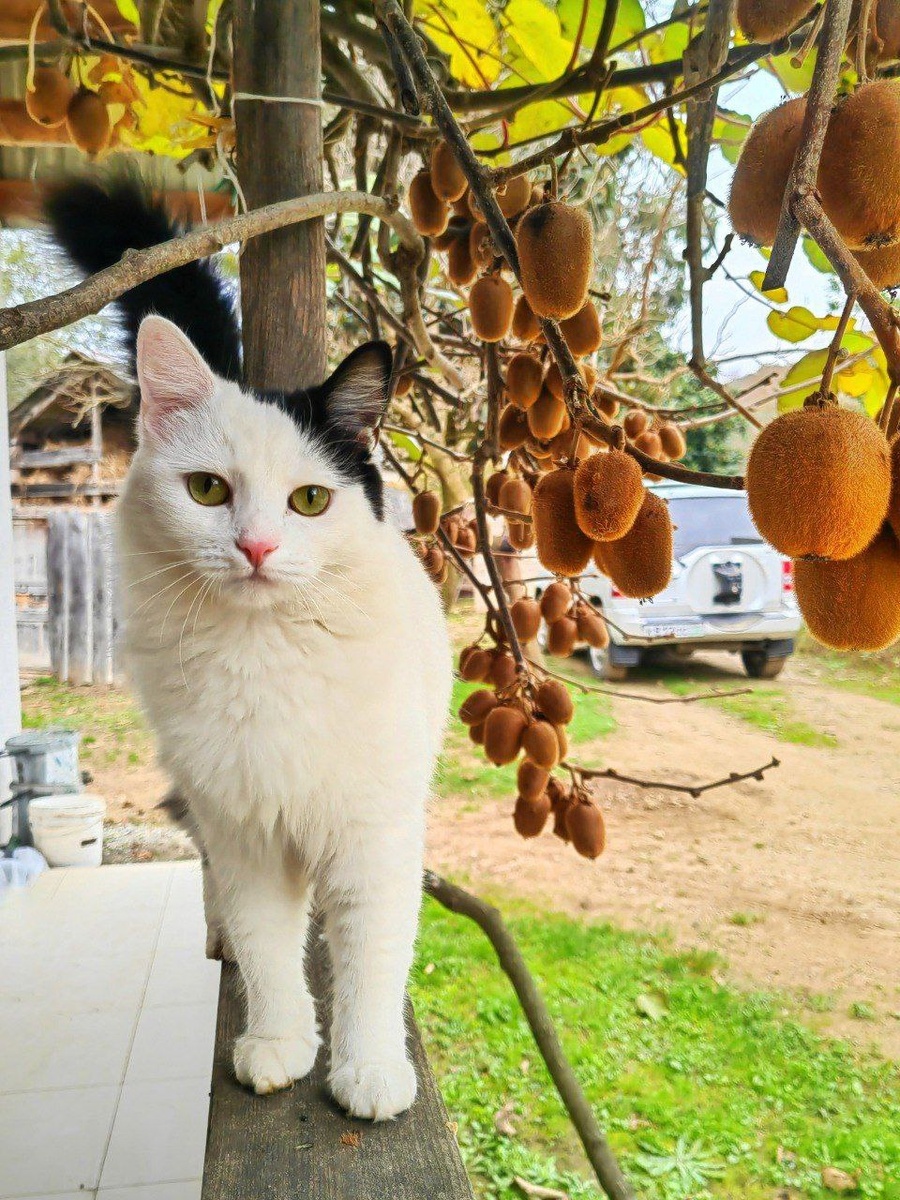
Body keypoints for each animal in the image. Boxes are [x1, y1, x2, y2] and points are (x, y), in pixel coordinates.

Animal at [48, 179, 452, 1120]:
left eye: (309, 500)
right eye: (207, 490)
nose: (258, 548)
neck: (266, 657)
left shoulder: (374, 833)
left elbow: (372, 961)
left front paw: (368, 1067)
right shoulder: (243, 834)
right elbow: (270, 949)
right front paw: (276, 1044)